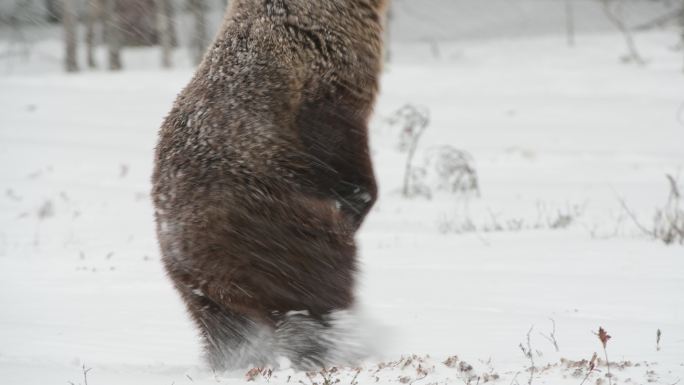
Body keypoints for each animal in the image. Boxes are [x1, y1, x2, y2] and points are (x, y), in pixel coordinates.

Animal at [151, 0, 384, 370]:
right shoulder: (322, 85)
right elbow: (339, 145)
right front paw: (357, 199)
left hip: (197, 290)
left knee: (225, 330)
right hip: (270, 226)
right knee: (317, 286)